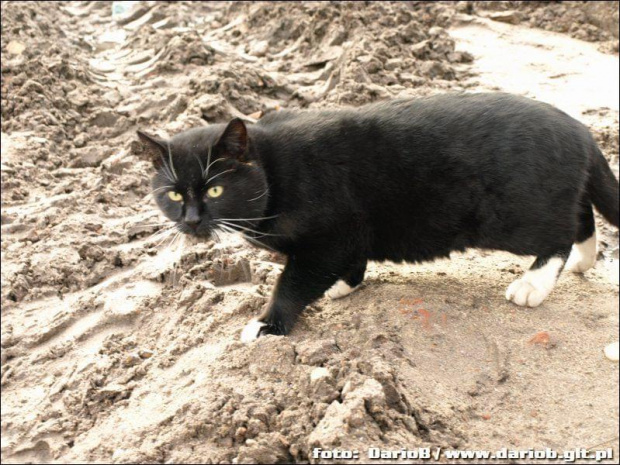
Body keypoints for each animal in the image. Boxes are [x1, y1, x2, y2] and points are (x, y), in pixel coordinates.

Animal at [138, 93, 616, 340]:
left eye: (215, 189)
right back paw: (584, 260)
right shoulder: (349, 233)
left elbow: (291, 283)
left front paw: (267, 325)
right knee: (583, 215)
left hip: (515, 214)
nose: (192, 220)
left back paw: (533, 284)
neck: (273, 169)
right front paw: (345, 285)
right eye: (173, 193)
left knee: (560, 231)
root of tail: (581, 131)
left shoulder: (330, 234)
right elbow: (349, 261)